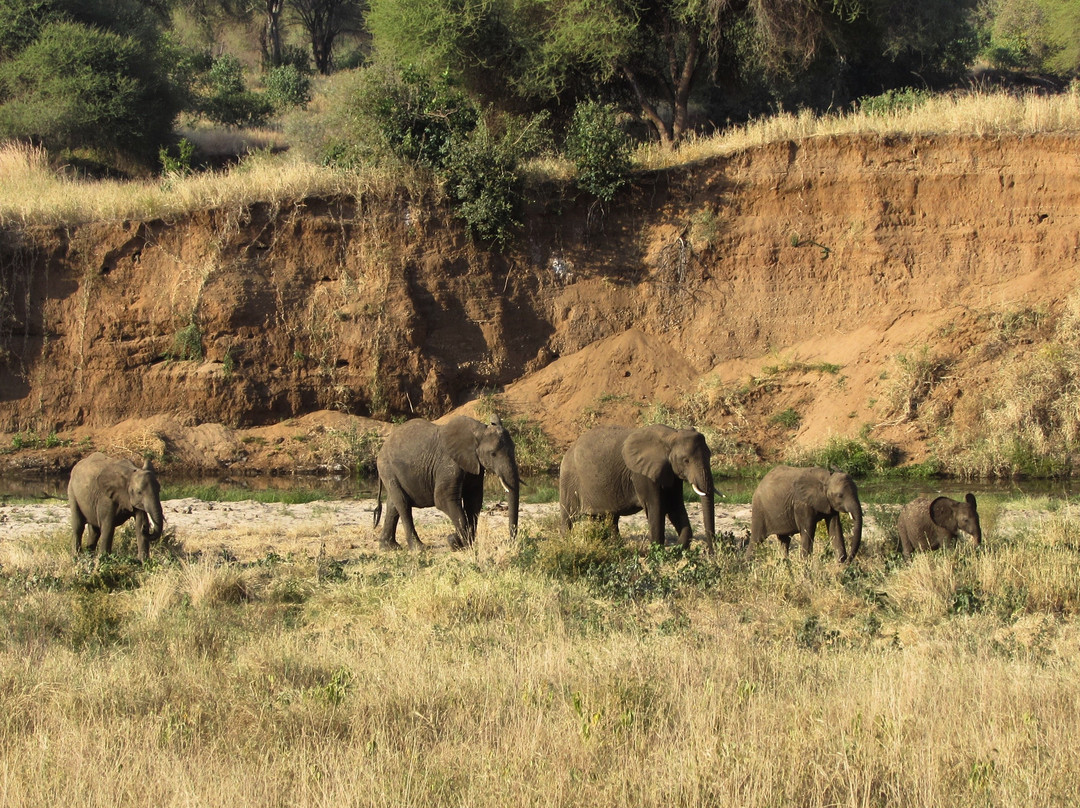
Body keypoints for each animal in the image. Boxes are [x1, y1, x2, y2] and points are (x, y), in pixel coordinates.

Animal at [375, 416, 518, 548]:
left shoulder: (475, 465)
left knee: (393, 505)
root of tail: (382, 447)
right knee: (403, 504)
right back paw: (418, 548)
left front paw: (465, 543)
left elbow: (473, 501)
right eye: (493, 454)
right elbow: (443, 499)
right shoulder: (449, 464)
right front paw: (459, 542)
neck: (478, 432)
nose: (507, 541)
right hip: (387, 468)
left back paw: (389, 547)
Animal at [557, 419, 717, 553]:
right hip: (569, 479)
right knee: (569, 516)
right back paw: (567, 543)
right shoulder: (641, 474)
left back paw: (615, 546)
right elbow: (656, 507)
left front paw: (677, 550)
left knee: (608, 518)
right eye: (686, 460)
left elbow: (675, 506)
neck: (671, 436)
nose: (711, 552)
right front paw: (657, 553)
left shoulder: (672, 473)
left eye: (709, 455)